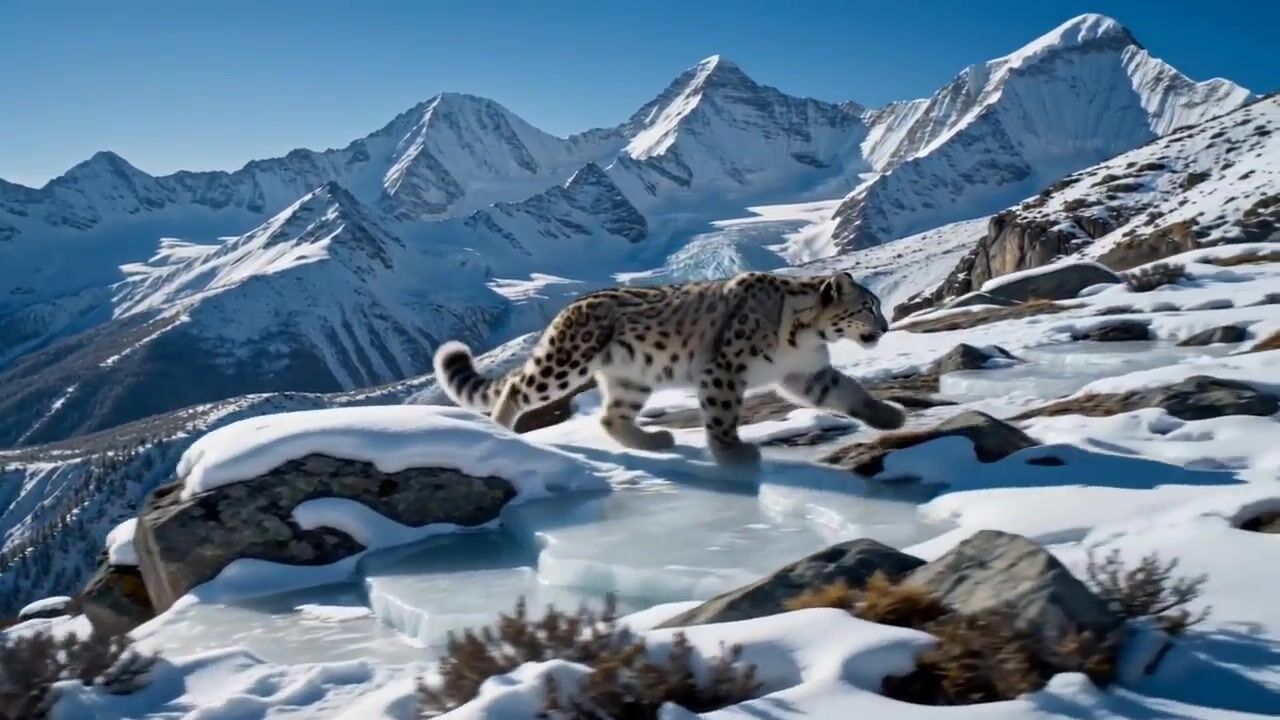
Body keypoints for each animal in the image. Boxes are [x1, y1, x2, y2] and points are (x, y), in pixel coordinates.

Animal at [433, 271, 905, 465]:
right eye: (868, 306)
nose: (885, 327)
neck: (805, 336)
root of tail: (568, 307)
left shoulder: (805, 374)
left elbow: (848, 391)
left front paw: (891, 416)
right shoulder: (724, 368)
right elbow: (721, 414)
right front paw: (733, 453)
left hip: (632, 378)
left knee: (610, 416)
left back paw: (655, 440)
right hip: (565, 363)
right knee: (516, 387)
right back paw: (500, 431)